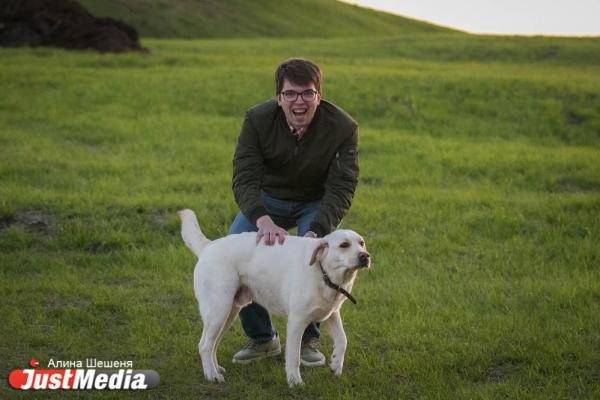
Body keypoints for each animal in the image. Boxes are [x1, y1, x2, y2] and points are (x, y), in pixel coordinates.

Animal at [177, 208, 370, 386]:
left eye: (362, 243)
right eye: (344, 245)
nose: (365, 256)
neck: (324, 274)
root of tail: (208, 246)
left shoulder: (331, 313)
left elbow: (343, 340)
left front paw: (336, 365)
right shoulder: (297, 321)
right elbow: (293, 356)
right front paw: (294, 382)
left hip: (228, 312)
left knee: (213, 344)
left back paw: (215, 368)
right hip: (219, 310)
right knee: (204, 345)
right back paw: (212, 375)